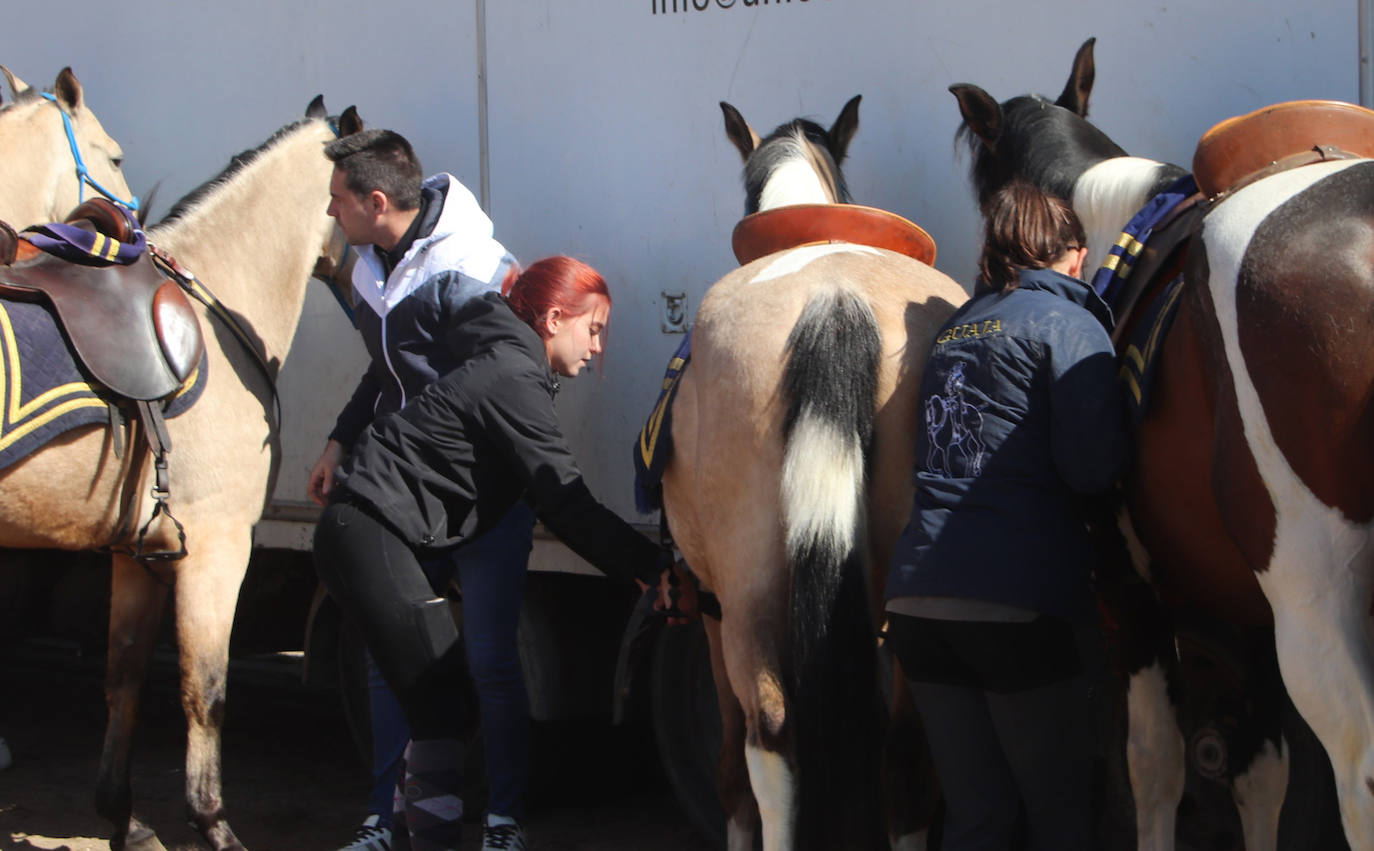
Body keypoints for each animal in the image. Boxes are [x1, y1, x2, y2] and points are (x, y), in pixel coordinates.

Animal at [0, 98, 362, 846]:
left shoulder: (139, 551)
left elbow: (125, 678)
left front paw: (123, 815)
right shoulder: (216, 546)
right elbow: (207, 689)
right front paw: (212, 820)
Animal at [656, 96, 967, 846]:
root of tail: (834, 298)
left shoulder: (710, 607)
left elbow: (730, 774)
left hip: (746, 597)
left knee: (771, 735)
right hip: (910, 608)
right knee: (905, 760)